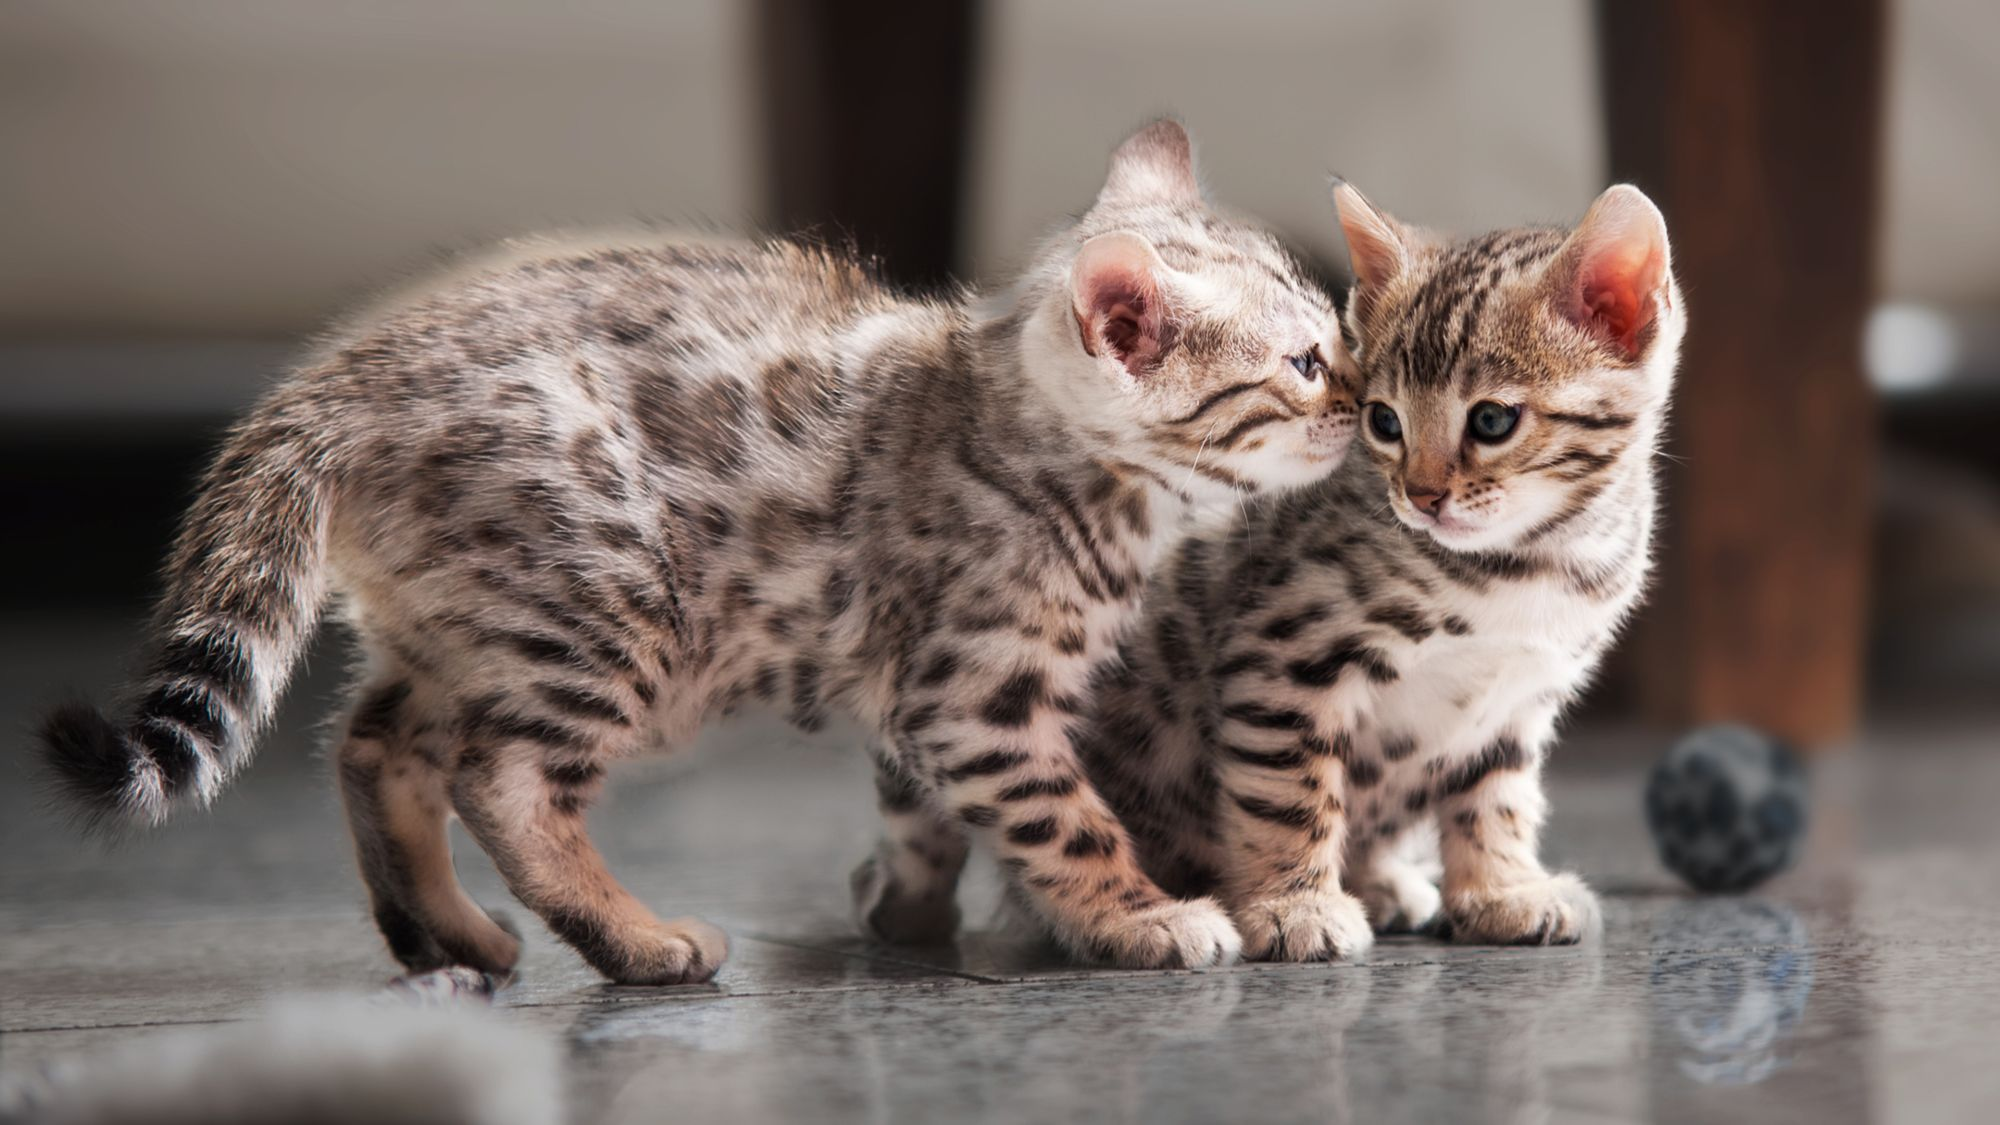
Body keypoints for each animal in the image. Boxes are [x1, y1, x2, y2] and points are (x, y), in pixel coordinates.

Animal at [39, 124, 1352, 980]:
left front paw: (910, 909)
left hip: (465, 624)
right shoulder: (971, 692)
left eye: (1336, 337)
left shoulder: (919, 706)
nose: (1362, 407)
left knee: (372, 745)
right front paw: (1140, 917)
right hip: (603, 613)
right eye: (1302, 363)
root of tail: (344, 377)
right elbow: (1062, 817)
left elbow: (921, 821)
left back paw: (452, 937)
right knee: (501, 779)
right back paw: (638, 941)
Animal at [1072, 182, 1680, 952]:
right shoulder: (1283, 654)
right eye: (1385, 422)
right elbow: (1286, 792)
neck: (1525, 565)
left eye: (1491, 421)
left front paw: (1502, 889)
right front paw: (1294, 904)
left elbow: (1497, 798)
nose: (1420, 496)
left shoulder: (1517, 702)